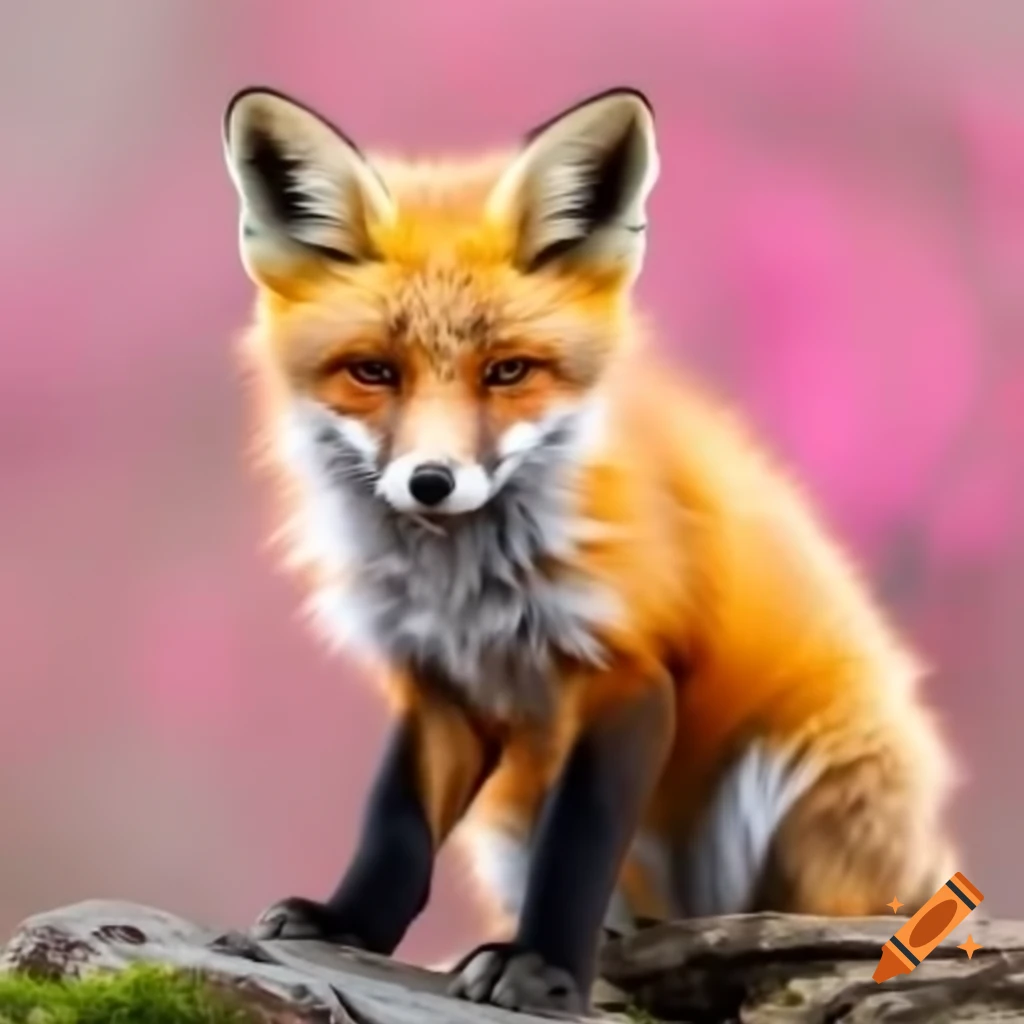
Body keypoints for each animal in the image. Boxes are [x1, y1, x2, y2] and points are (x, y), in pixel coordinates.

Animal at [221, 85, 957, 1013]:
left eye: (508, 371)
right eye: (373, 372)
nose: (431, 482)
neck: (467, 590)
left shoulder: (626, 672)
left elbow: (578, 848)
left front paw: (538, 969)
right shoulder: (437, 682)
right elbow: (396, 829)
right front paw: (346, 924)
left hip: (784, 786)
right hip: (512, 819)